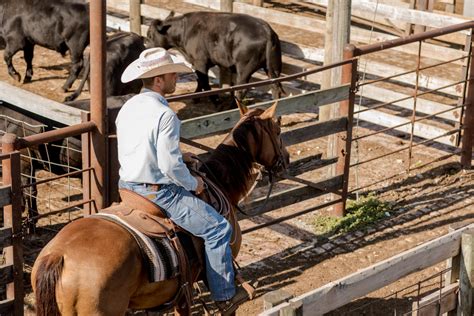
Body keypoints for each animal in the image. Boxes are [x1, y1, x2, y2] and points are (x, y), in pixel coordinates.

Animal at [146, 11, 284, 105]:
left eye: (150, 35)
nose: (147, 49)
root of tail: (266, 29)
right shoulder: (198, 63)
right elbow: (200, 80)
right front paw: (196, 97)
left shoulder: (200, 62)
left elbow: (205, 82)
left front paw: (215, 100)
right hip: (273, 68)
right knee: (275, 88)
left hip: (244, 68)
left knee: (241, 89)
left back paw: (233, 106)